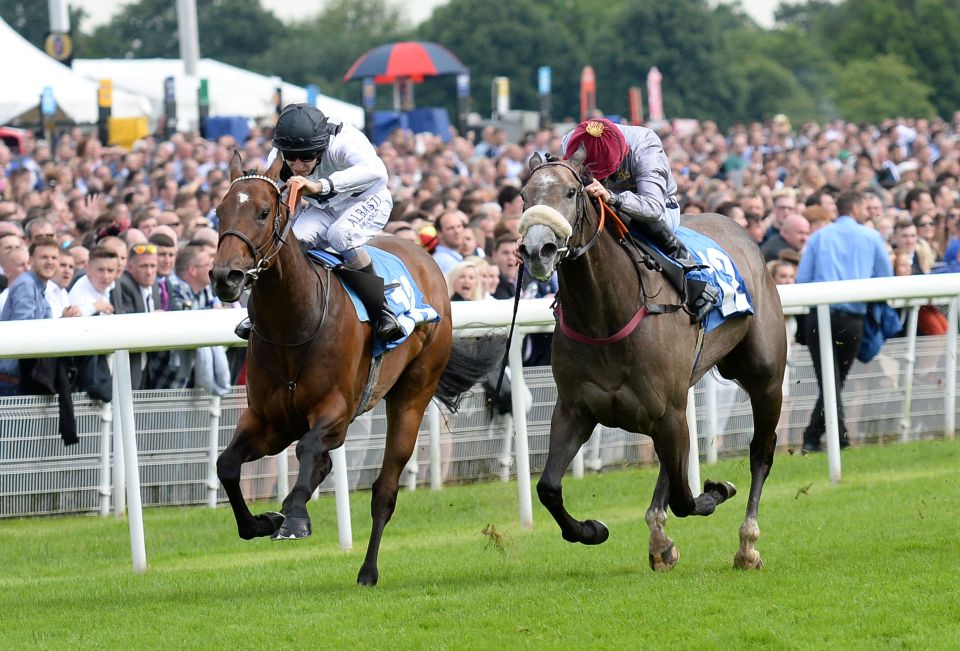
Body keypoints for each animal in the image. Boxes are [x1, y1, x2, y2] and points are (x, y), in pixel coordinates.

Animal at [207, 153, 484, 584]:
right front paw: (265, 520)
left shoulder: (335, 411)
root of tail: (425, 256)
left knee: (385, 490)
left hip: (412, 394)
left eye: (263, 212)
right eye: (220, 212)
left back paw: (368, 570)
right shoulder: (268, 421)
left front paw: (294, 518)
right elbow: (227, 465)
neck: (294, 322)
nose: (225, 277)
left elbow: (307, 449)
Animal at [516, 149, 788, 572]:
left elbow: (685, 498)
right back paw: (660, 541)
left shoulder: (668, 412)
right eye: (524, 195)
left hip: (765, 379)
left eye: (571, 191)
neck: (605, 316)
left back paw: (747, 546)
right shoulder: (576, 409)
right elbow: (548, 487)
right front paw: (591, 530)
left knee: (761, 452)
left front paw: (717, 489)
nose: (536, 249)